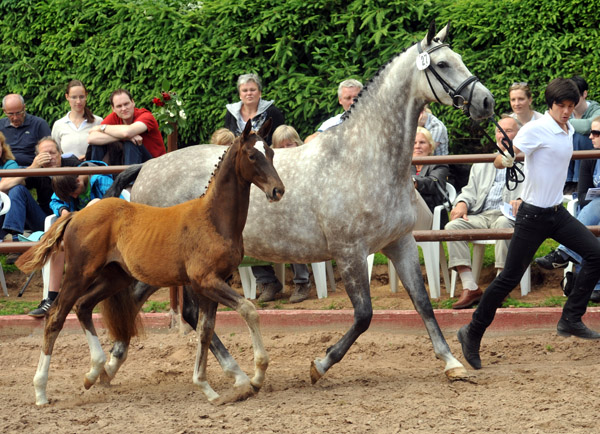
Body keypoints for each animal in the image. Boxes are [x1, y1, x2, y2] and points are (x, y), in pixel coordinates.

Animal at [105, 22, 494, 398]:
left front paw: (452, 364)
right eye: (442, 64)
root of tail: (146, 168)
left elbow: (423, 303)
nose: (487, 102)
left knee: (176, 310)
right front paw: (319, 366)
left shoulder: (400, 243)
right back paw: (118, 366)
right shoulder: (350, 252)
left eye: (458, 59)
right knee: (147, 304)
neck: (363, 158)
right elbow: (364, 315)